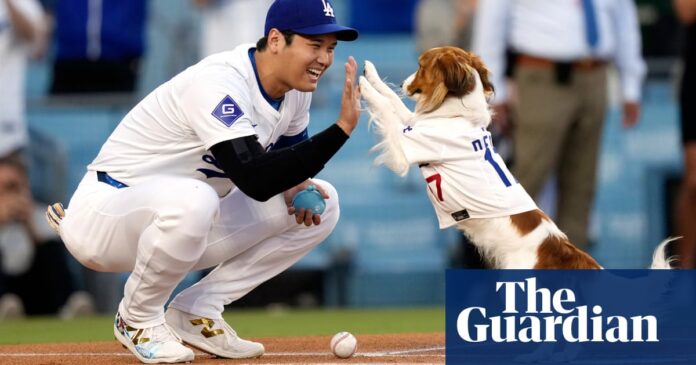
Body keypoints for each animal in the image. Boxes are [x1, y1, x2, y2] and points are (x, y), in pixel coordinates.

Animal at [362, 46, 672, 268]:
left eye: (420, 66)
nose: (404, 82)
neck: (457, 116)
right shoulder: (413, 126)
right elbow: (392, 101)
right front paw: (371, 75)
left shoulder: (405, 149)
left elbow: (386, 108)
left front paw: (362, 87)